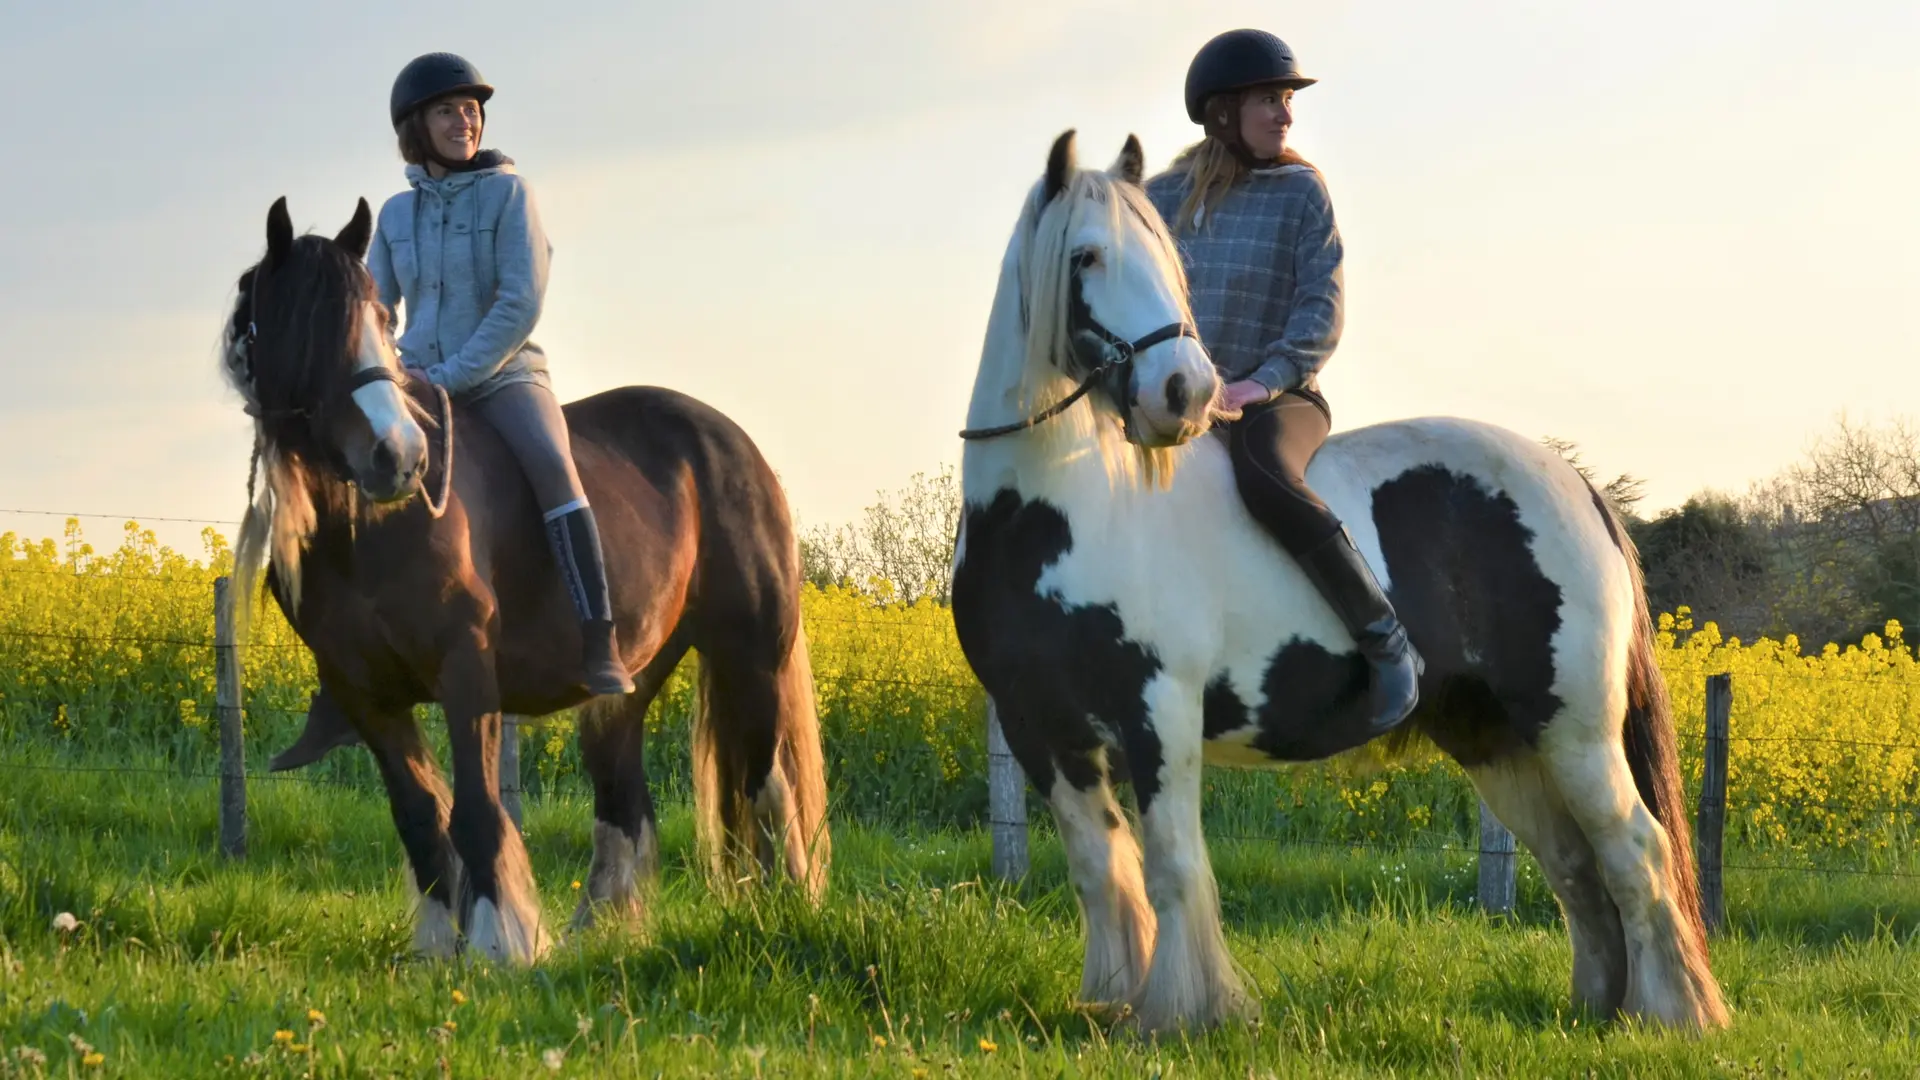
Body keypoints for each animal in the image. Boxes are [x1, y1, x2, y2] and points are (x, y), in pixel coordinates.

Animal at [219, 197, 829, 963]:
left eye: (380, 320)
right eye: (307, 323)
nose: (400, 457)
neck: (367, 530)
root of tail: (735, 442)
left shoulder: (466, 672)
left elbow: (478, 810)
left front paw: (497, 943)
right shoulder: (366, 694)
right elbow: (419, 814)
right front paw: (436, 948)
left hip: (751, 657)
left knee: (764, 785)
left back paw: (784, 910)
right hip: (626, 687)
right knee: (624, 806)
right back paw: (593, 935)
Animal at [950, 132, 1728, 1034]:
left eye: (1164, 258)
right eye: (1085, 256)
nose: (1187, 392)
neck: (1060, 512)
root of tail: (1579, 487)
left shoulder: (1159, 711)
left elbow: (1172, 865)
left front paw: (1183, 1013)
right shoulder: (1043, 729)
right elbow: (1100, 872)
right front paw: (1113, 1003)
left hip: (1573, 728)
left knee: (1635, 849)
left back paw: (1672, 1015)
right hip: (1494, 736)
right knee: (1572, 863)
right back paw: (1597, 1009)